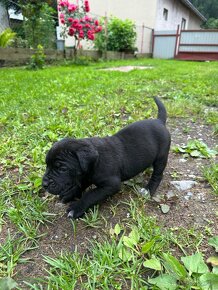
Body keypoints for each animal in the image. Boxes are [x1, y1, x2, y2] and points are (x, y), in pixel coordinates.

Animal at [42, 97, 170, 218]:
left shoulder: (111, 185)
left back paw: (148, 190)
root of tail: (159, 121)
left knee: (158, 175)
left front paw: (77, 207)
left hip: (161, 157)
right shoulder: (85, 176)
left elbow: (91, 194)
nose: (44, 184)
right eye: (47, 165)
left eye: (62, 169)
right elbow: (80, 185)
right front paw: (70, 194)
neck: (95, 163)